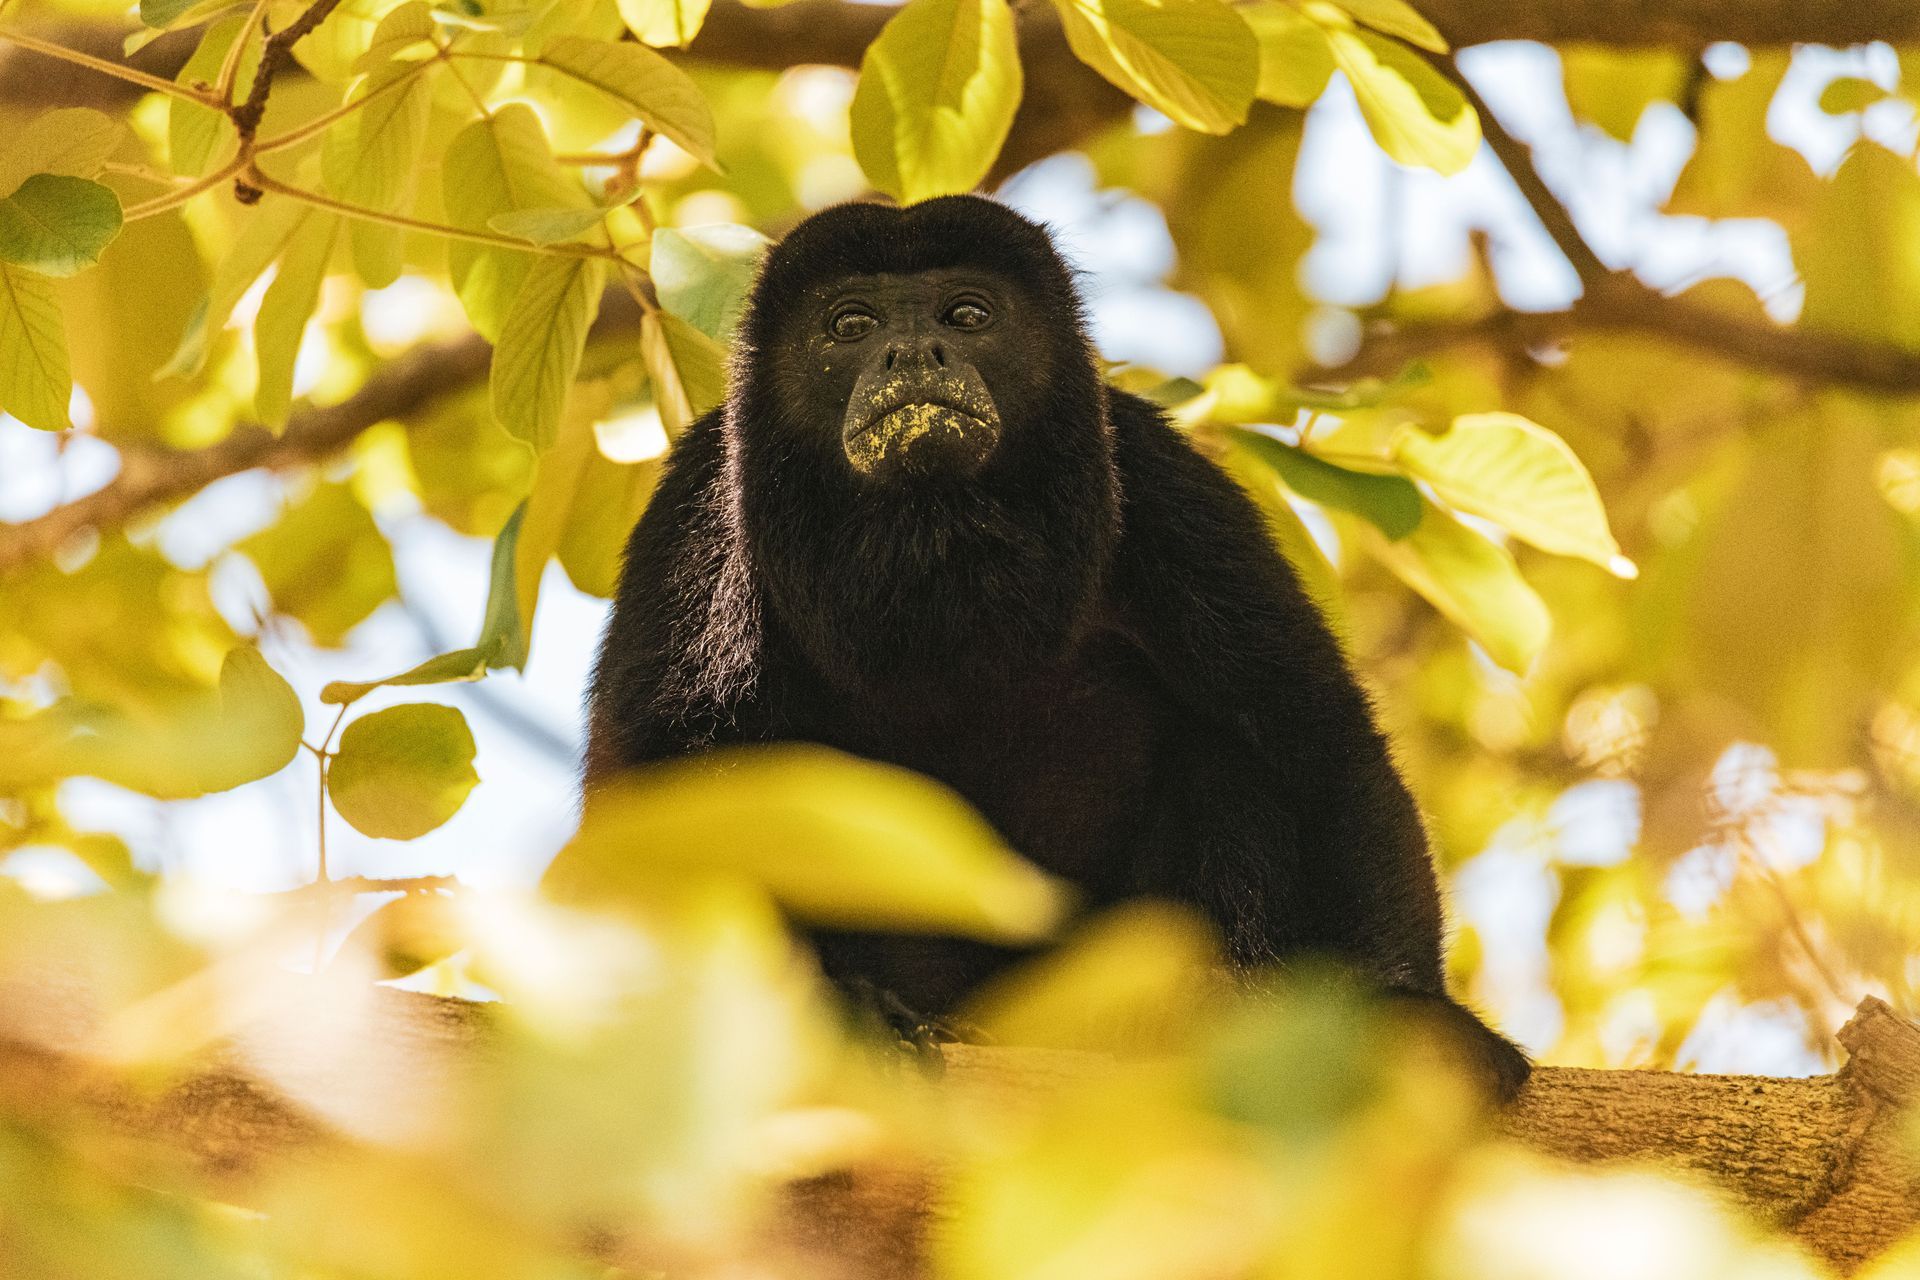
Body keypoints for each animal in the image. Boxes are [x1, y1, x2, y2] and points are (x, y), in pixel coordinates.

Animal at [585, 194, 1530, 1100]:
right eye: (851, 326)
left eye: (968, 314)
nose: (913, 352)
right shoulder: (698, 509)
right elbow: (668, 775)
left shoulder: (1164, 480)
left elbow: (1312, 732)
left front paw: (1413, 1015)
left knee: (1226, 758)